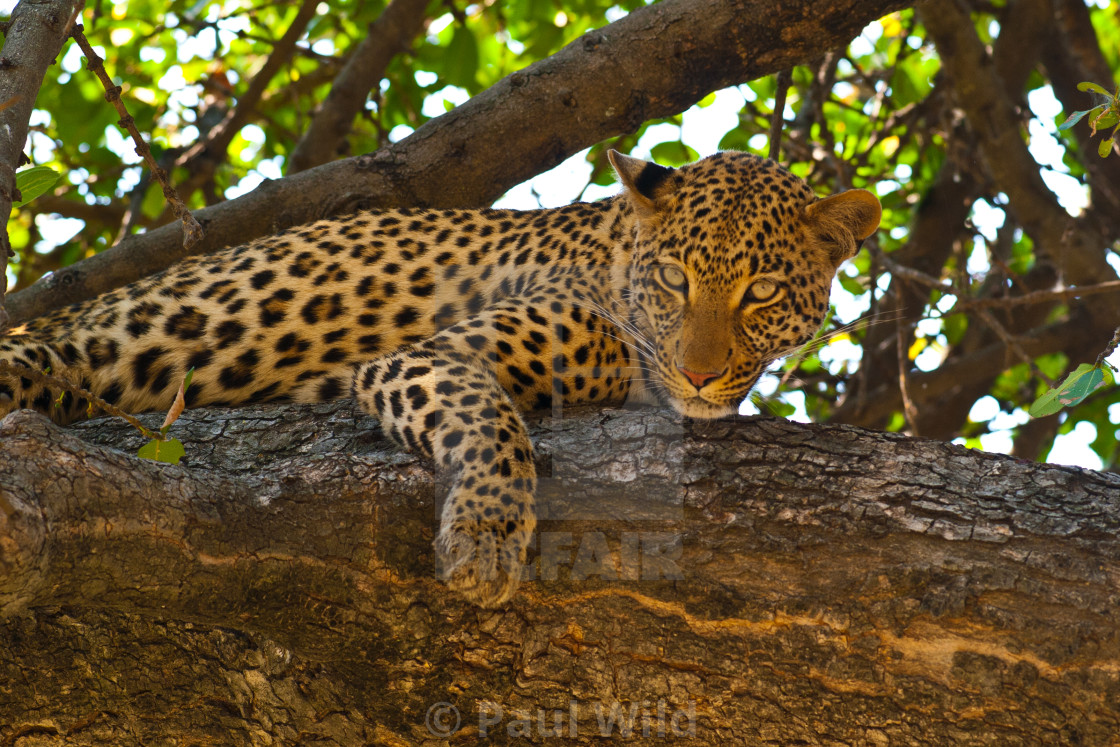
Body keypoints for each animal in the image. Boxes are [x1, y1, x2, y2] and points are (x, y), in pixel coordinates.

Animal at [2, 150, 882, 609]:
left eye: (761, 292)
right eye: (674, 279)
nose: (699, 373)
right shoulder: (430, 356)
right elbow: (493, 423)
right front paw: (485, 539)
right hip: (120, 335)